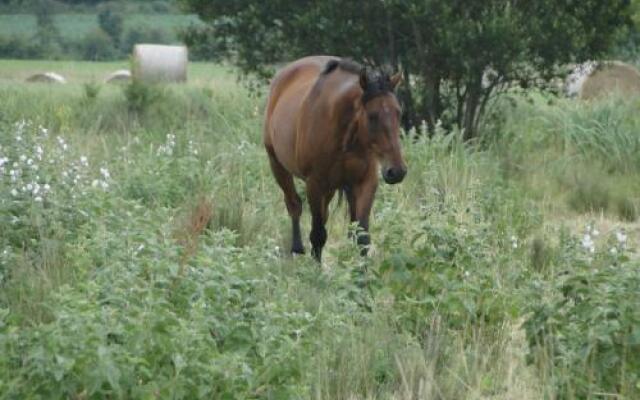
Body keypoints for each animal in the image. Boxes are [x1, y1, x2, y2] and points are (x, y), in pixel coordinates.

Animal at [264, 56, 404, 262]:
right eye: (372, 116)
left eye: (398, 112)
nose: (397, 171)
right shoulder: (314, 184)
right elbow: (318, 235)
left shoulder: (366, 182)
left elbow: (361, 236)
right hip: (277, 165)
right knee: (294, 205)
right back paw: (297, 249)